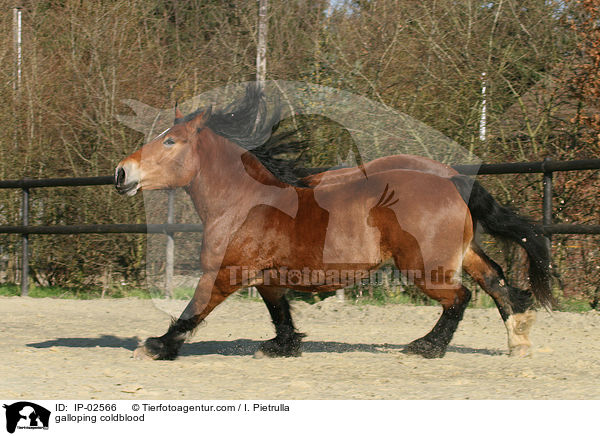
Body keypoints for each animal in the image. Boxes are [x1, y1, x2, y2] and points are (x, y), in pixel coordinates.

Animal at [115, 86, 552, 362]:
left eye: (169, 141)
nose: (121, 173)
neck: (244, 201)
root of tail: (451, 179)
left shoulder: (223, 272)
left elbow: (193, 311)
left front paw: (155, 346)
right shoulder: (268, 276)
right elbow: (280, 313)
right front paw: (282, 347)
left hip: (424, 266)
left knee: (459, 298)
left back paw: (426, 347)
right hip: (459, 252)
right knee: (494, 279)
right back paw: (518, 340)